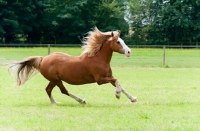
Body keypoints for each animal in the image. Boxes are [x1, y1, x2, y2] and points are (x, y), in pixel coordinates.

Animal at [8, 27, 137, 104]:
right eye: (118, 42)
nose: (129, 52)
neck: (98, 59)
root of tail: (43, 59)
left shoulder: (107, 77)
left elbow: (119, 84)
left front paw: (133, 98)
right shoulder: (100, 80)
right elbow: (117, 81)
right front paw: (117, 95)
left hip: (54, 80)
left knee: (48, 89)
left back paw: (55, 103)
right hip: (56, 80)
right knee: (64, 91)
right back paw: (81, 100)